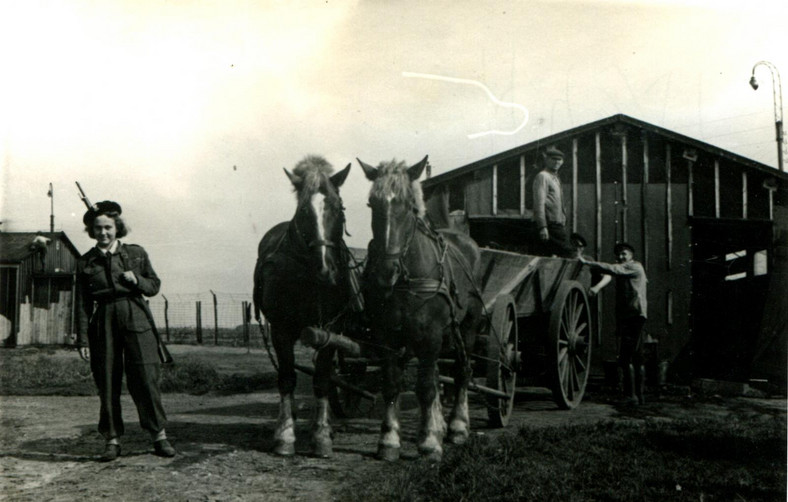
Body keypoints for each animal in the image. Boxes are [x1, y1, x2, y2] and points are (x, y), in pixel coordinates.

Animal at [252, 155, 350, 456]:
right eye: (304, 212)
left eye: (338, 208)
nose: (326, 270)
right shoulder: (280, 329)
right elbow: (286, 378)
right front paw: (285, 435)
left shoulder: (332, 329)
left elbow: (322, 380)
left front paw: (322, 435)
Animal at [358, 155, 486, 460]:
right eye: (372, 204)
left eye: (408, 206)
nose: (385, 272)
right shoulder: (385, 335)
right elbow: (392, 383)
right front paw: (389, 440)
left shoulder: (430, 334)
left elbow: (426, 387)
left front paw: (428, 442)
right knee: (440, 372)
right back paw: (440, 424)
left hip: (467, 325)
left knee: (462, 370)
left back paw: (457, 426)